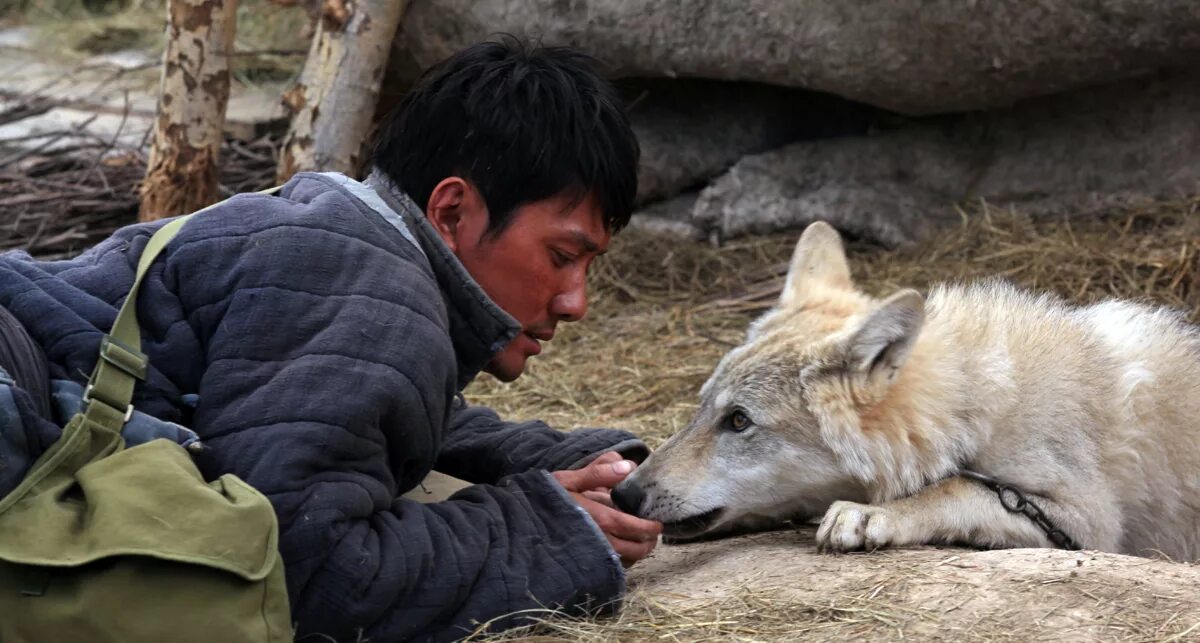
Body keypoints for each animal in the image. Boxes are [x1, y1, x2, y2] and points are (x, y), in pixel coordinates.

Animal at [614, 219, 1200, 556]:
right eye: (701, 410)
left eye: (738, 420)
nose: (624, 493)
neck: (970, 407)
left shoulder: (1087, 524)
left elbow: (955, 489)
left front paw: (874, 516)